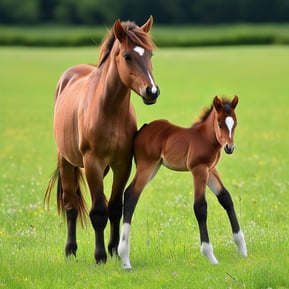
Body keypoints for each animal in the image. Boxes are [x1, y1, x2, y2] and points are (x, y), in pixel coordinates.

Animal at [44, 15, 160, 264]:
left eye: (150, 54)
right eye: (127, 56)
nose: (152, 91)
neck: (110, 111)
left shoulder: (122, 164)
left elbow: (115, 207)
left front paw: (115, 250)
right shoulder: (92, 163)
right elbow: (98, 211)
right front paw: (100, 256)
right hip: (66, 162)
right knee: (71, 205)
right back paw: (70, 250)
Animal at [118, 95, 246, 268]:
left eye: (235, 124)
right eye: (220, 124)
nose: (229, 148)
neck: (205, 138)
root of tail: (142, 129)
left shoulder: (211, 170)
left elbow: (226, 198)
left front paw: (242, 248)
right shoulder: (199, 169)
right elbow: (200, 207)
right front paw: (209, 255)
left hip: (155, 167)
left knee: (129, 193)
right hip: (147, 166)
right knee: (131, 195)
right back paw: (125, 258)